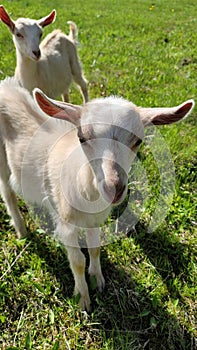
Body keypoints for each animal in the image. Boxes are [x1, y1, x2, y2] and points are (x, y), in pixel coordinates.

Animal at [0, 78, 194, 310]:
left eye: (138, 141)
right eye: (81, 137)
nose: (114, 188)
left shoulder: (95, 220)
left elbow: (94, 249)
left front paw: (97, 280)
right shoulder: (66, 223)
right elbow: (77, 261)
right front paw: (83, 299)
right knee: (7, 192)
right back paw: (21, 230)